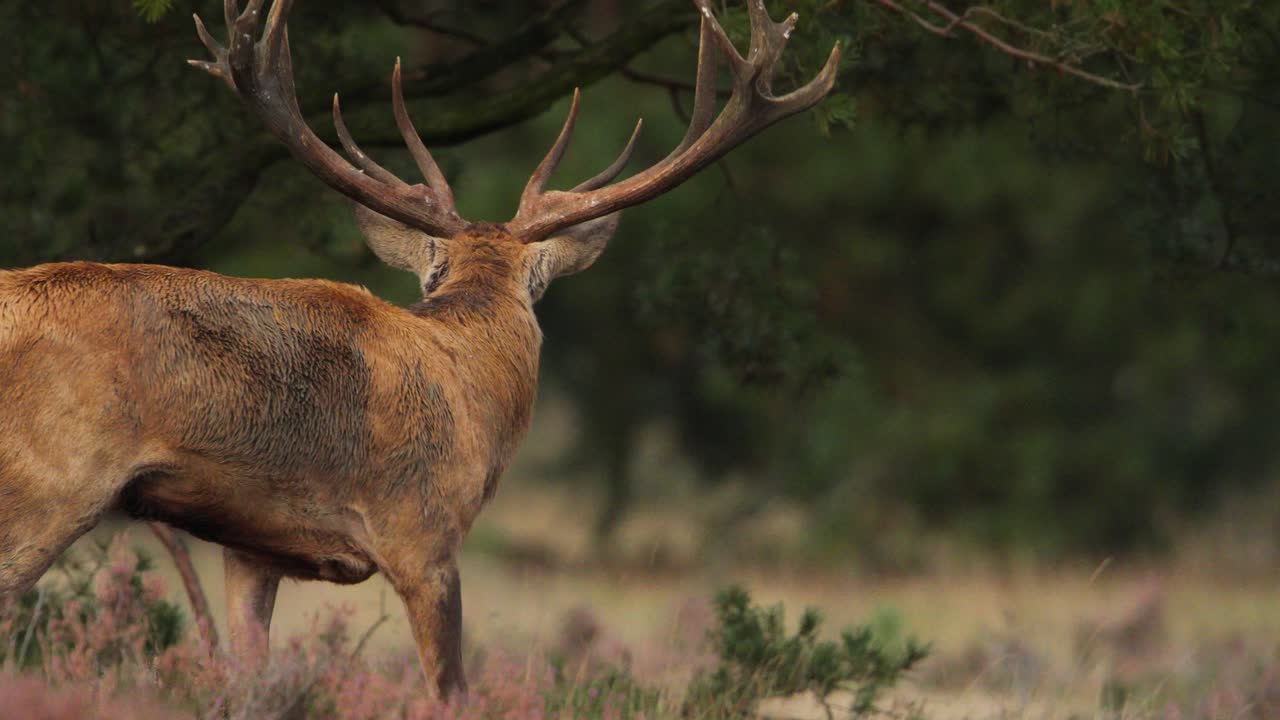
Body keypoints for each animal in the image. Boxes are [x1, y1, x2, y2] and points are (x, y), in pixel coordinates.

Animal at [0, 0, 838, 698]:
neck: (473, 380)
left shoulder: (253, 546)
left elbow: (248, 677)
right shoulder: (424, 531)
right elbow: (450, 689)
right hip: (48, 483)